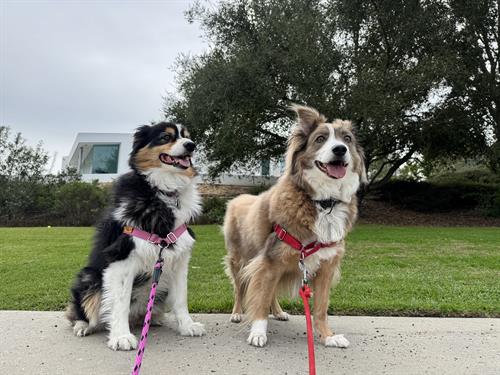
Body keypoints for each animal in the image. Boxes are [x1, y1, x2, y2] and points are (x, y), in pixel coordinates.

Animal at [67, 123, 205, 352]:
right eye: (165, 137)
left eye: (187, 136)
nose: (191, 145)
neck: (163, 192)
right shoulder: (122, 259)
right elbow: (120, 302)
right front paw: (121, 336)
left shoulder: (179, 261)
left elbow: (181, 298)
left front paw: (187, 325)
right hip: (89, 278)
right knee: (81, 310)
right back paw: (83, 325)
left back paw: (157, 319)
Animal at [225, 104, 366, 348]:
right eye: (320, 138)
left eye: (347, 139)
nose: (340, 150)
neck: (323, 202)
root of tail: (239, 198)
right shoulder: (270, 261)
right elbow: (260, 299)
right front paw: (258, 332)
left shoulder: (325, 267)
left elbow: (320, 309)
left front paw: (327, 336)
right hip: (239, 261)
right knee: (239, 288)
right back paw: (236, 312)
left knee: (270, 292)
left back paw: (278, 312)